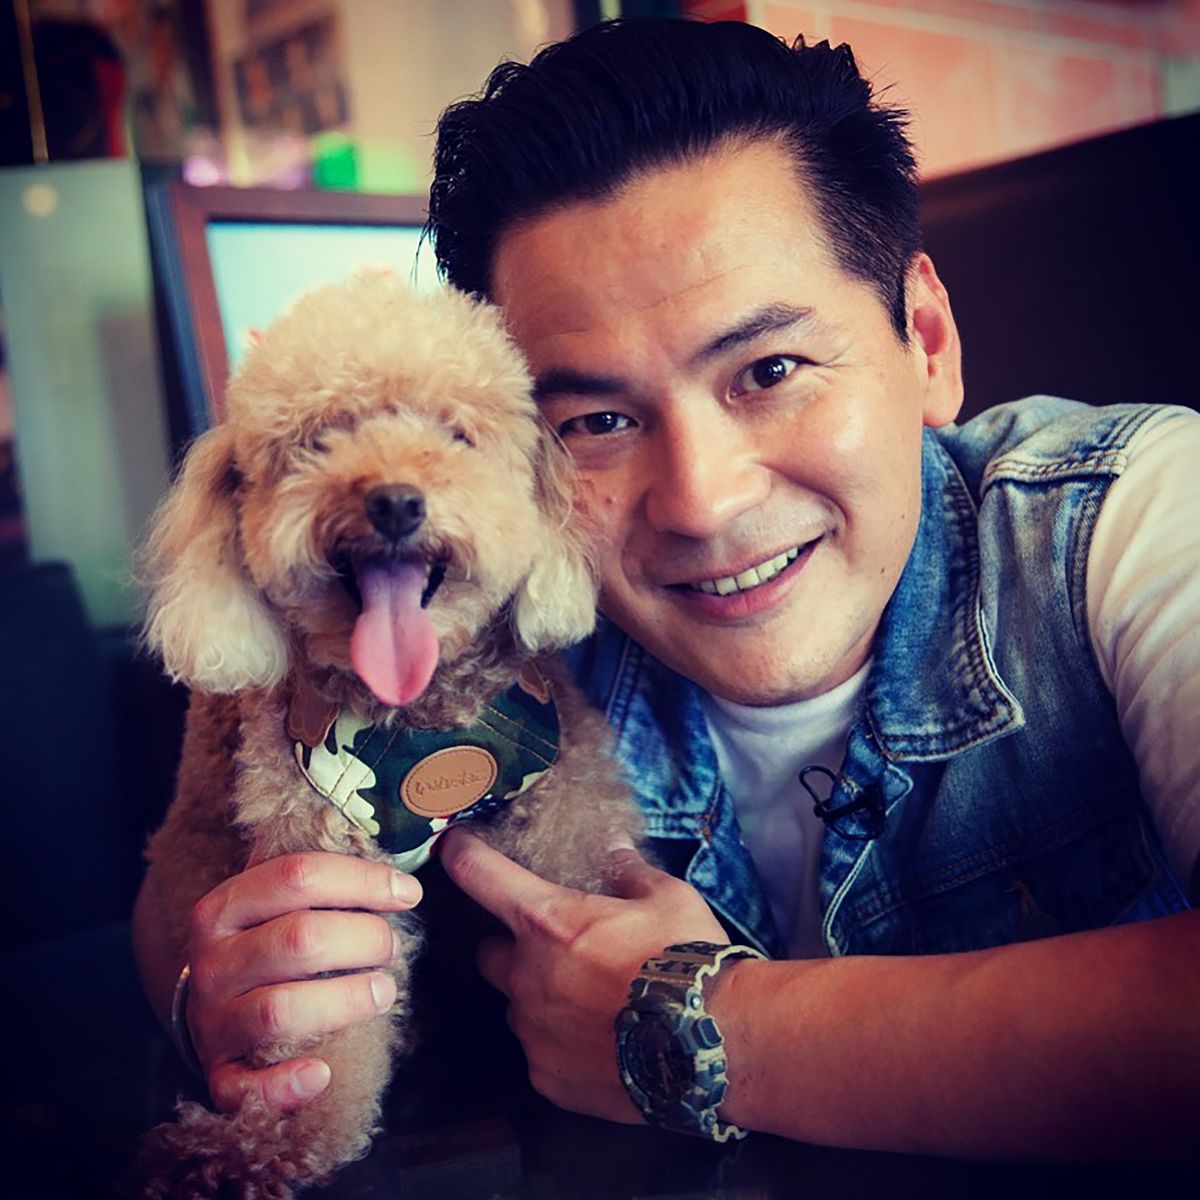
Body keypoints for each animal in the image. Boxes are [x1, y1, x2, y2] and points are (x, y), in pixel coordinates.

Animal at [136, 274, 641, 1197]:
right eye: (318, 440)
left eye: (457, 435)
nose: (397, 500)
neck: (419, 716)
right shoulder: (323, 873)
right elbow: (326, 1040)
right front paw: (268, 1144)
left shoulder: (561, 807)